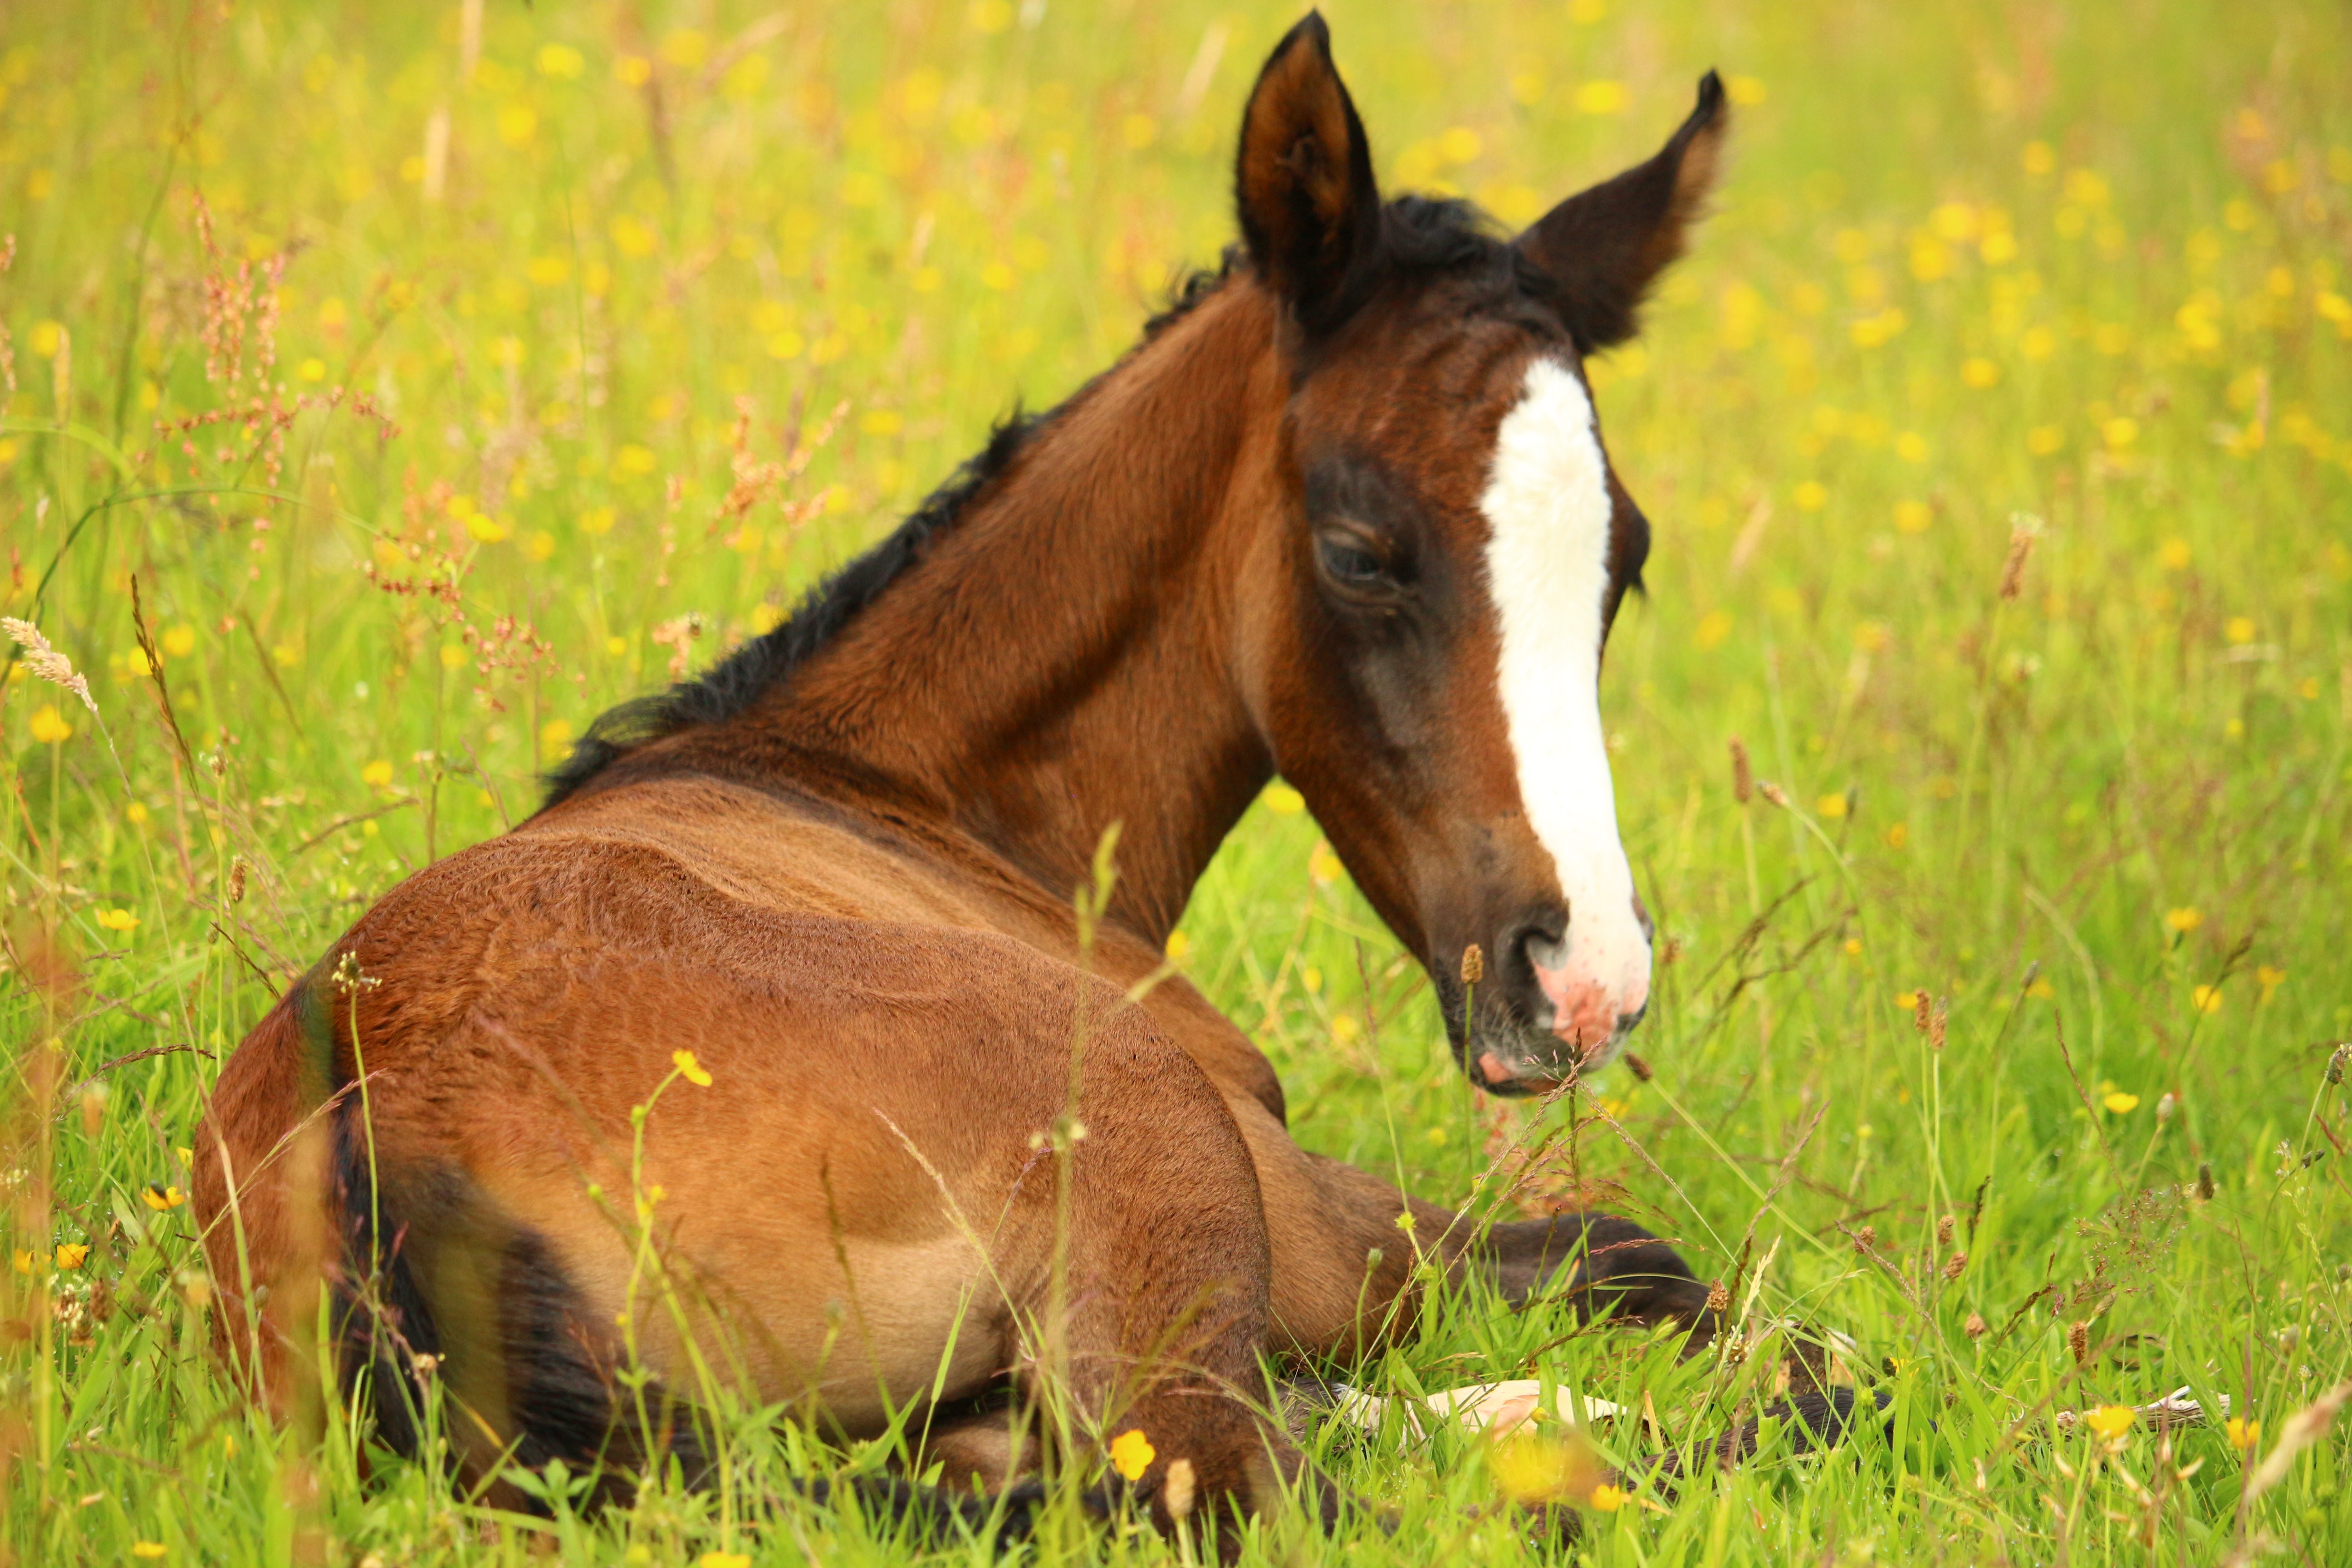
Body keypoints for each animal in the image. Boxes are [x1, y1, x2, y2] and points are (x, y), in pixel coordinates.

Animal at [197, 15, 1749, 1542]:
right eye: (1361, 551)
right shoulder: (1324, 1232)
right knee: (1240, 1488)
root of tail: (380, 1159)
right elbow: (1638, 1260)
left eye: (1628, 561)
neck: (905, 796)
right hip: (1157, 1153)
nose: (1583, 984)